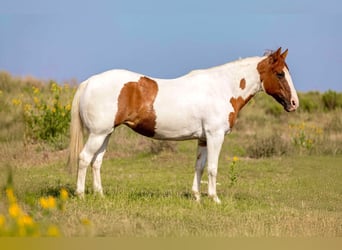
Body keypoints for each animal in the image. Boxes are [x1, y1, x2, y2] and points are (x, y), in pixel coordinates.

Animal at [69, 47, 300, 203]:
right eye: (280, 73)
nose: (294, 103)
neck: (222, 88)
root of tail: (89, 82)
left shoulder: (203, 138)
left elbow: (199, 166)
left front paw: (197, 197)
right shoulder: (215, 136)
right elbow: (213, 168)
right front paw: (214, 199)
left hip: (106, 134)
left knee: (96, 162)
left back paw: (100, 195)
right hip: (98, 134)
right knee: (84, 158)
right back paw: (80, 195)